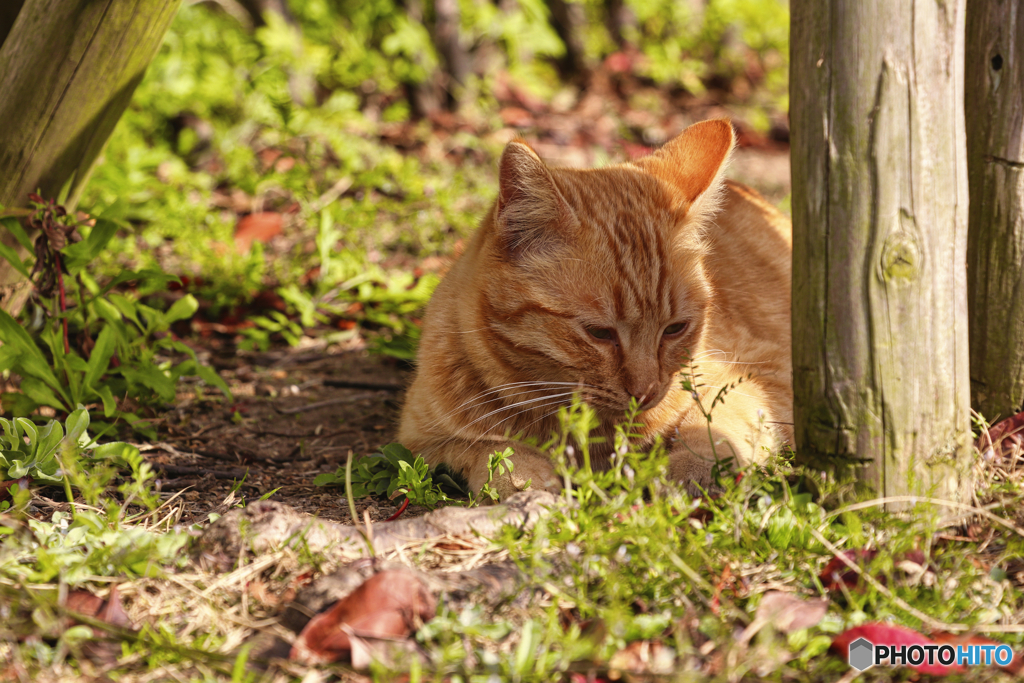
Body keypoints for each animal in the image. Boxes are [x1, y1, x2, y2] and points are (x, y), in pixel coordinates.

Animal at [397, 118, 790, 497]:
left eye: (675, 329)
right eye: (599, 333)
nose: (645, 392)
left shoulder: (765, 375)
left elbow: (714, 421)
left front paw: (696, 465)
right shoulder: (420, 438)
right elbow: (482, 446)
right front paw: (521, 474)